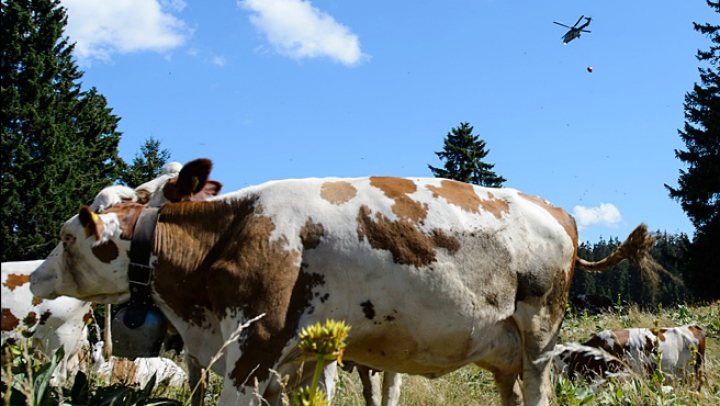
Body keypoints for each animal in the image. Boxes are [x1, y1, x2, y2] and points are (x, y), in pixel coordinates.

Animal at [29, 178, 664, 406]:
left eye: (65, 237)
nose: (33, 278)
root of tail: (554, 209)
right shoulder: (280, 363)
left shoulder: (252, 349)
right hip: (506, 352)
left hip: (538, 339)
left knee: (536, 391)